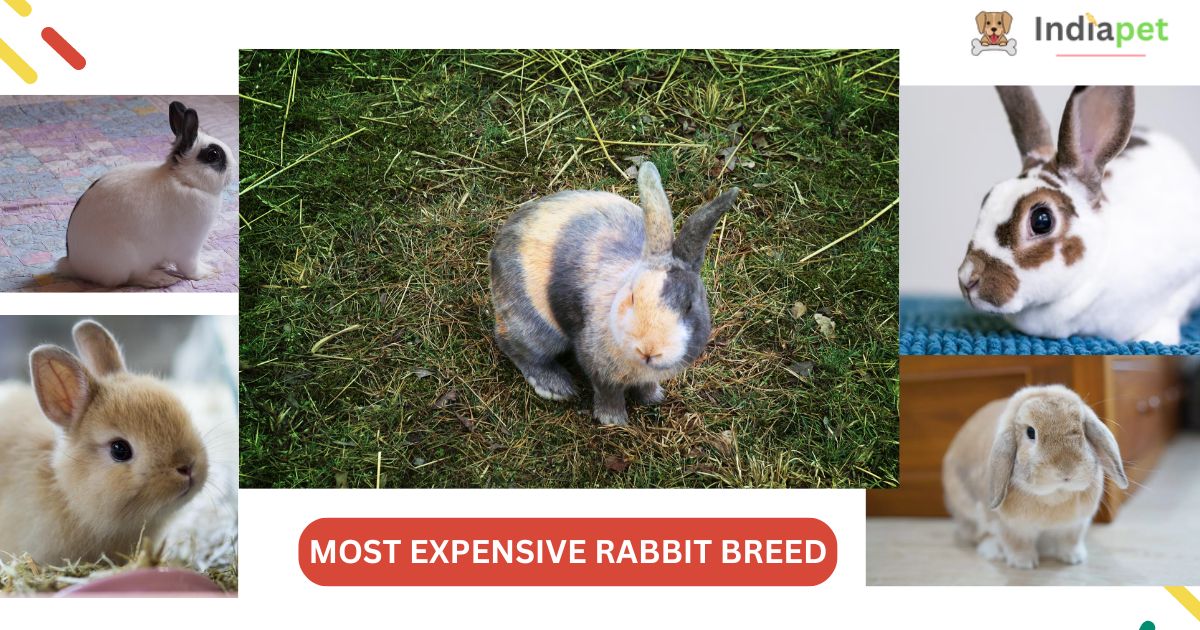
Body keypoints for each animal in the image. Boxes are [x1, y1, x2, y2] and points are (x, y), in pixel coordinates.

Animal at [57, 101, 236, 288]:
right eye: (213, 155)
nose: (234, 169)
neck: (184, 180)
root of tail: (75, 266)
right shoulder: (189, 247)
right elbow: (190, 268)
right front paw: (208, 272)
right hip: (126, 258)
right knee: (131, 278)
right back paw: (161, 279)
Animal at [489, 161, 739, 425]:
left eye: (689, 306)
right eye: (632, 296)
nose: (649, 349)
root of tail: (500, 244)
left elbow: (647, 385)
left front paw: (653, 398)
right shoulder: (597, 364)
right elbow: (608, 392)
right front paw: (613, 420)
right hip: (535, 326)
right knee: (515, 347)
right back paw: (556, 387)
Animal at [942, 384, 1128, 569]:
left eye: (1082, 428)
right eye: (1031, 432)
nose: (1066, 470)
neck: (1054, 496)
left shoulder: (1075, 525)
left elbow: (1070, 541)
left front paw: (1074, 558)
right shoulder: (1010, 527)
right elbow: (1017, 544)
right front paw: (1023, 563)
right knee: (978, 535)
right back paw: (993, 550)